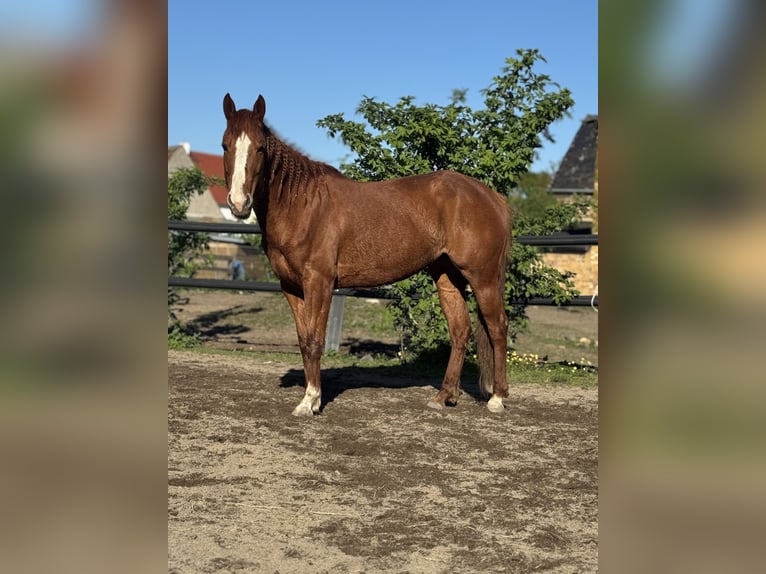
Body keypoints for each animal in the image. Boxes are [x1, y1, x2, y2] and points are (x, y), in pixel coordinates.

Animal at [221, 93, 511, 416]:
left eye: (260, 147)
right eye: (225, 145)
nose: (238, 204)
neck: (302, 205)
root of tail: (493, 197)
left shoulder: (319, 283)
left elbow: (315, 340)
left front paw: (310, 401)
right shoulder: (291, 287)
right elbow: (303, 340)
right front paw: (310, 399)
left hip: (483, 278)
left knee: (498, 328)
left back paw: (497, 399)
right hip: (447, 276)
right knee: (460, 330)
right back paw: (443, 397)